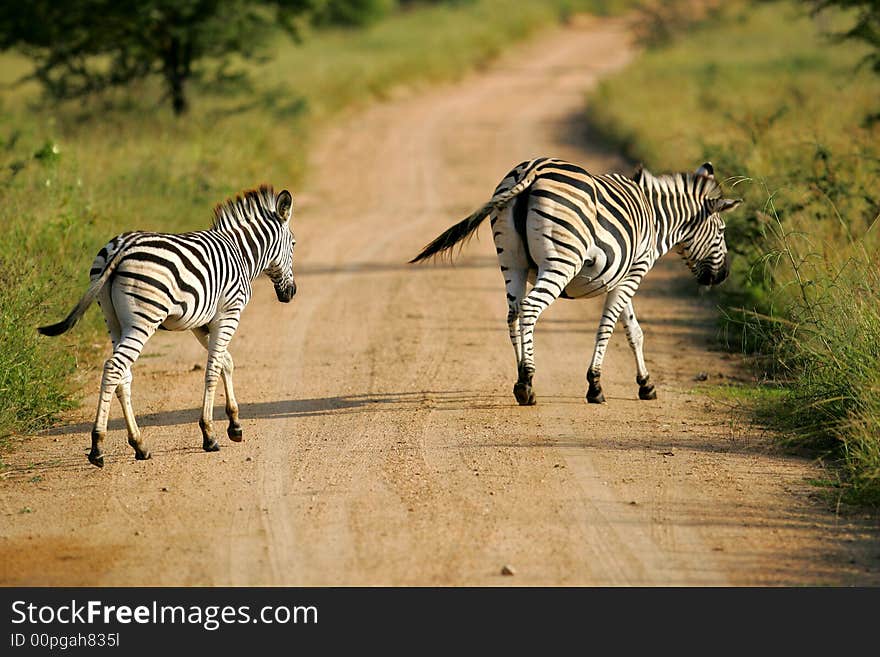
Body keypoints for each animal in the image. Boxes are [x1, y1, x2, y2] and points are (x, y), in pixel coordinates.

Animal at [37, 184, 300, 466]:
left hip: (113, 320)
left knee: (123, 375)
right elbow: (213, 369)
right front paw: (209, 434)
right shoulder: (229, 313)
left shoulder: (202, 323)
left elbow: (225, 362)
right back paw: (97, 446)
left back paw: (139, 444)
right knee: (114, 368)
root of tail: (121, 247)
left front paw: (235, 424)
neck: (241, 253)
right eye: (294, 244)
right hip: (143, 319)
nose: (291, 293)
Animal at [410, 158, 740, 404]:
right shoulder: (634, 273)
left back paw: (521, 380)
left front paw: (646, 384)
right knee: (530, 309)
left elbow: (634, 331)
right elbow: (607, 328)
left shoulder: (621, 278)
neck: (657, 216)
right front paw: (595, 386)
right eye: (722, 231)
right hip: (561, 261)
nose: (723, 276)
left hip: (511, 261)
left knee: (513, 314)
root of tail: (531, 170)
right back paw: (527, 381)